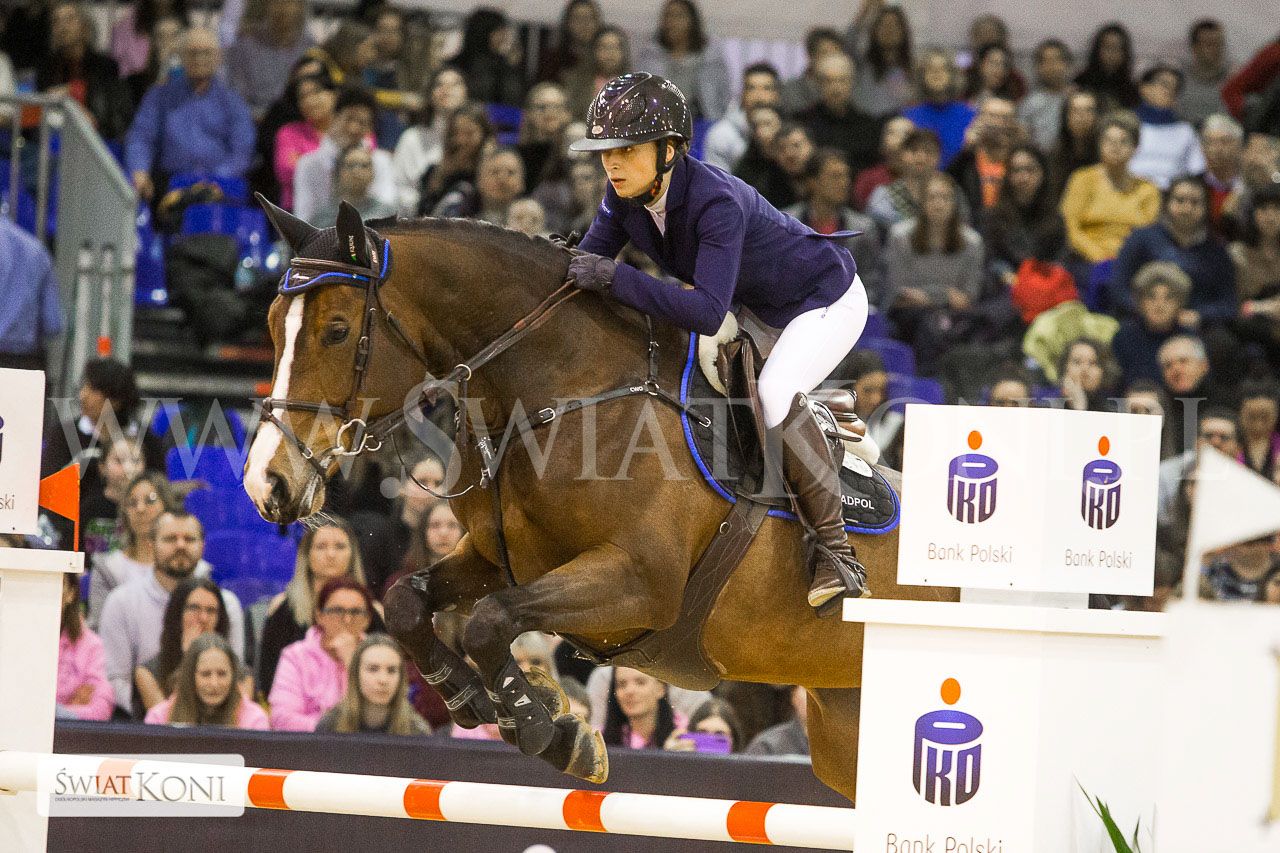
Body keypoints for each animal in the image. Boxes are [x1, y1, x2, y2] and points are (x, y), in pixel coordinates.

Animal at [243, 200, 958, 802]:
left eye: (338, 331)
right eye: (273, 326)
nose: (265, 484)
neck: (563, 392)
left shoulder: (641, 582)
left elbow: (490, 620)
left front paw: (547, 729)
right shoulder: (502, 559)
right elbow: (406, 603)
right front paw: (479, 701)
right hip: (846, 729)